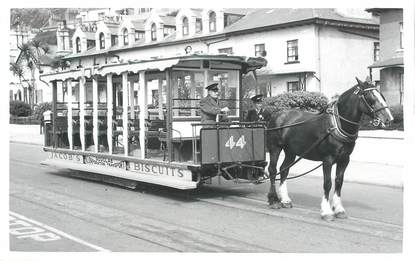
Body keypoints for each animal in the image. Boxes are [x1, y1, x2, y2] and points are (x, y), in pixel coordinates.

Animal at [266, 76, 396, 219]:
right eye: (370, 97)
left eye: (382, 96)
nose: (389, 119)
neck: (336, 125)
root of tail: (277, 115)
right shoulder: (327, 160)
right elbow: (327, 183)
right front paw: (326, 211)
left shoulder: (344, 159)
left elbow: (339, 181)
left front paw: (339, 209)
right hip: (275, 148)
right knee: (272, 170)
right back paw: (274, 200)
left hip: (291, 151)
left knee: (284, 169)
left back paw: (285, 200)